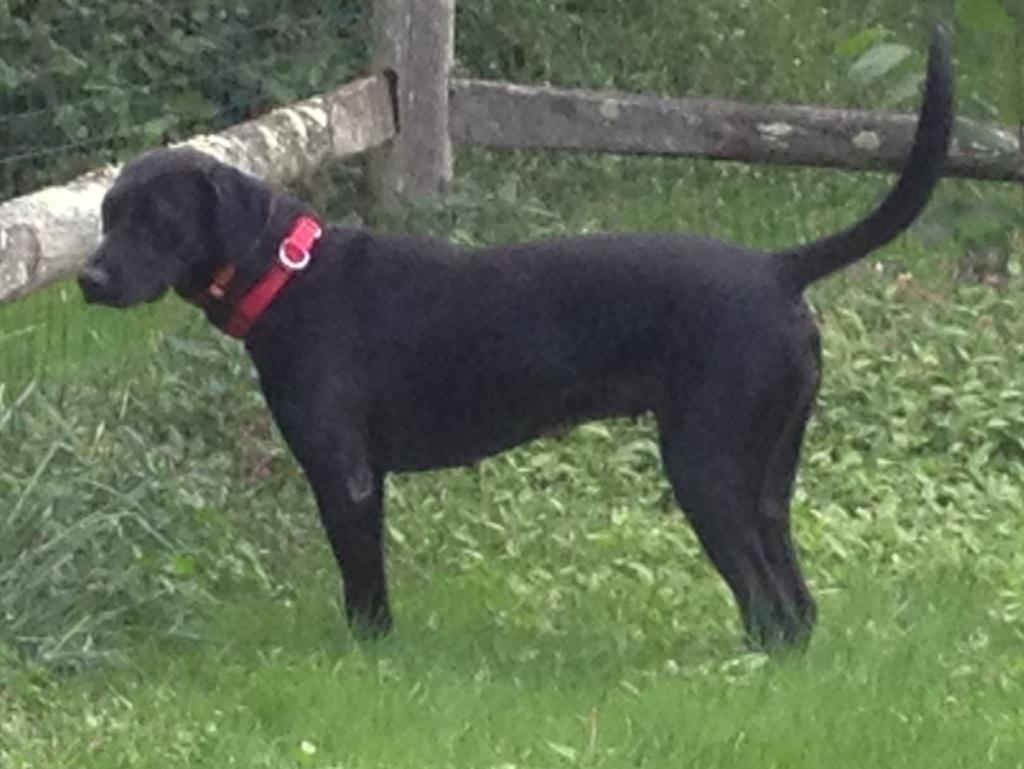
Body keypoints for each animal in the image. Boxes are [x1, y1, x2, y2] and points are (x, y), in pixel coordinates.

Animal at [77, 27, 950, 647]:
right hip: (767, 477)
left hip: (706, 467)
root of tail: (778, 269)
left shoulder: (345, 474)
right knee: (795, 605)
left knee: (767, 603)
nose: (88, 278)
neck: (289, 277)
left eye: (157, 221)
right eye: (105, 216)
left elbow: (363, 589)